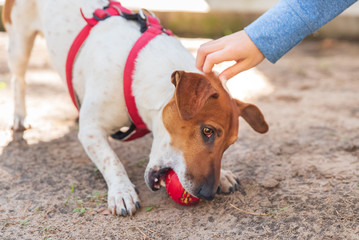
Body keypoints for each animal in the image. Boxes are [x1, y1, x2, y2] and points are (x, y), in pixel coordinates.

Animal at [2, 0, 268, 217]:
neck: (137, 79)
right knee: (18, 79)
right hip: (18, 41)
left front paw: (224, 174)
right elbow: (111, 160)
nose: (207, 193)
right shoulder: (91, 131)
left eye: (229, 146)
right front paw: (121, 191)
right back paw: (19, 117)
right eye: (208, 131)